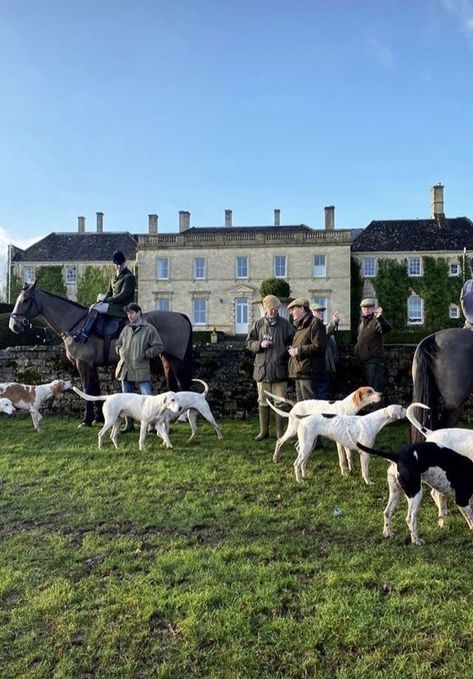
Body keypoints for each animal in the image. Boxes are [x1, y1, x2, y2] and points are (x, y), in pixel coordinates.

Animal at [8, 282, 192, 424]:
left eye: (25, 300)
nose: (14, 326)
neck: (78, 326)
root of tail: (181, 315)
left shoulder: (83, 364)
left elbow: (87, 388)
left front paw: (87, 419)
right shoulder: (91, 366)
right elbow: (95, 390)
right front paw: (98, 418)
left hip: (177, 359)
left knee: (183, 383)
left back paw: (183, 417)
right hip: (166, 358)